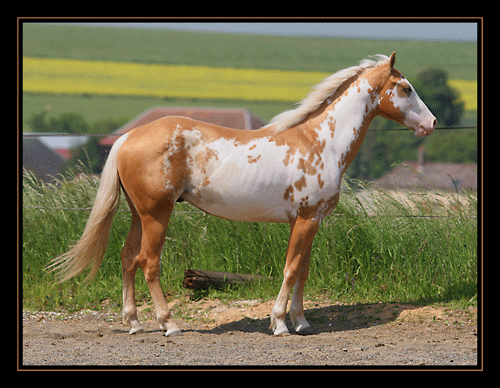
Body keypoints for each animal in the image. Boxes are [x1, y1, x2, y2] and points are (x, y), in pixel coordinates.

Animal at [48, 51, 436, 336]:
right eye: (405, 88)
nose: (431, 123)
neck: (320, 142)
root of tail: (128, 137)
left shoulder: (310, 221)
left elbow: (303, 270)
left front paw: (301, 322)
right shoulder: (305, 220)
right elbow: (290, 269)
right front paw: (280, 323)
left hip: (137, 214)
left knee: (128, 258)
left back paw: (134, 323)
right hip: (157, 214)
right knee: (149, 263)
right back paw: (169, 324)